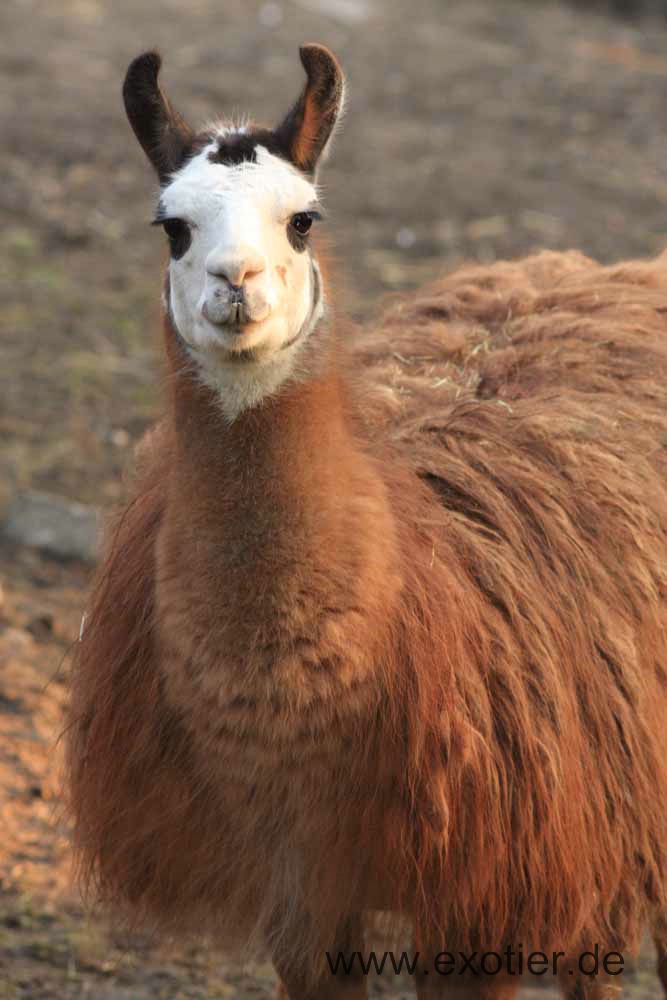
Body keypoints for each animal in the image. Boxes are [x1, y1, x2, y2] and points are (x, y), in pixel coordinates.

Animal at [66, 44, 667, 1000]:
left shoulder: (481, 885)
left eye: (301, 221)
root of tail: (597, 267)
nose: (235, 285)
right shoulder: (306, 885)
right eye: (173, 227)